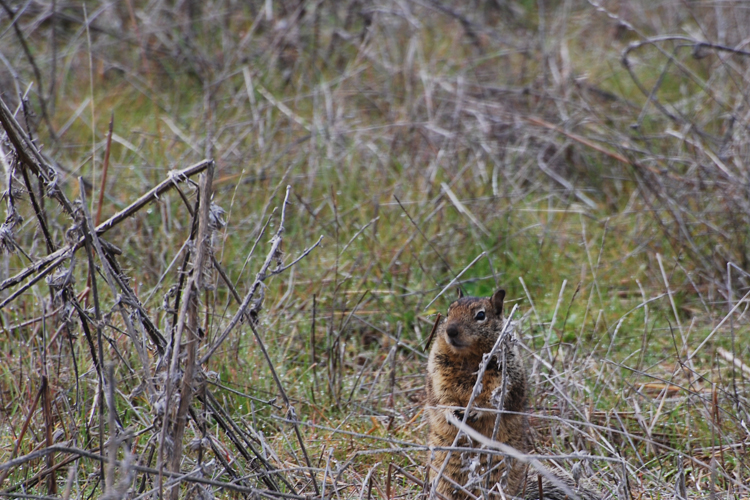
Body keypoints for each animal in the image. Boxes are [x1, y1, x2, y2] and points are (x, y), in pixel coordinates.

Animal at [425, 289, 600, 500]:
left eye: (481, 315)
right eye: (448, 311)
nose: (450, 331)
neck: (468, 356)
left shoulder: (505, 375)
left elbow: (494, 400)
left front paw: (476, 409)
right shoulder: (438, 370)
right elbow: (441, 395)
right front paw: (450, 412)